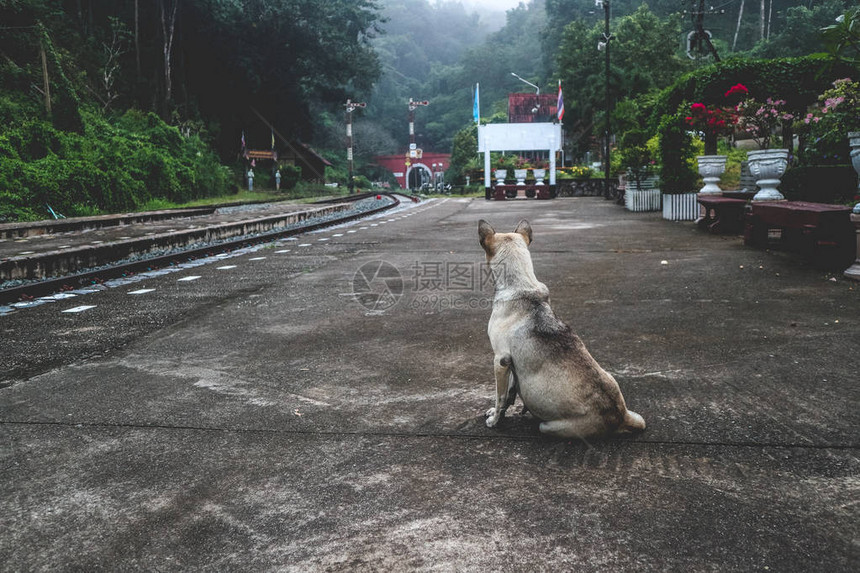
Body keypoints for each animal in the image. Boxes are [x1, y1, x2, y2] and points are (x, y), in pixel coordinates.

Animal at [478, 219, 644, 438]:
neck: (521, 284)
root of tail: (620, 417)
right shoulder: (510, 363)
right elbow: (509, 391)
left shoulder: (500, 361)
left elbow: (500, 397)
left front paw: (495, 420)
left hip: (550, 426)